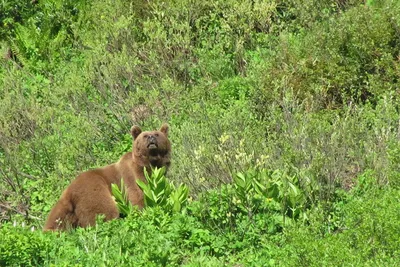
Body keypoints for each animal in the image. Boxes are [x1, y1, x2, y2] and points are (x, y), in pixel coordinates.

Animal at [43, 124, 171, 231]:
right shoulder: (131, 176)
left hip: (68, 211)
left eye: (157, 134)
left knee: (57, 218)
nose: (151, 138)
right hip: (94, 190)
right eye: (144, 136)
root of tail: (69, 191)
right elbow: (137, 197)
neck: (150, 164)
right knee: (105, 211)